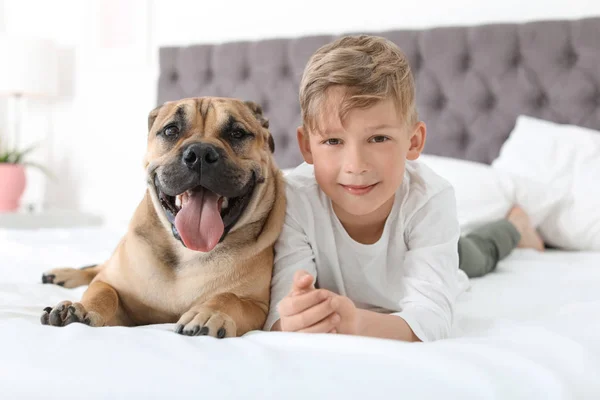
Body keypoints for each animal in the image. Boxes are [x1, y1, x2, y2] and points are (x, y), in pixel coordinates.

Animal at [39, 97, 286, 338]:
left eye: (237, 133)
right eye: (171, 130)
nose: (200, 154)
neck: (187, 253)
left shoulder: (258, 307)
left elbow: (230, 298)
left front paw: (209, 314)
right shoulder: (117, 290)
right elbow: (104, 291)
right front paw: (81, 309)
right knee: (98, 269)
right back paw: (64, 275)